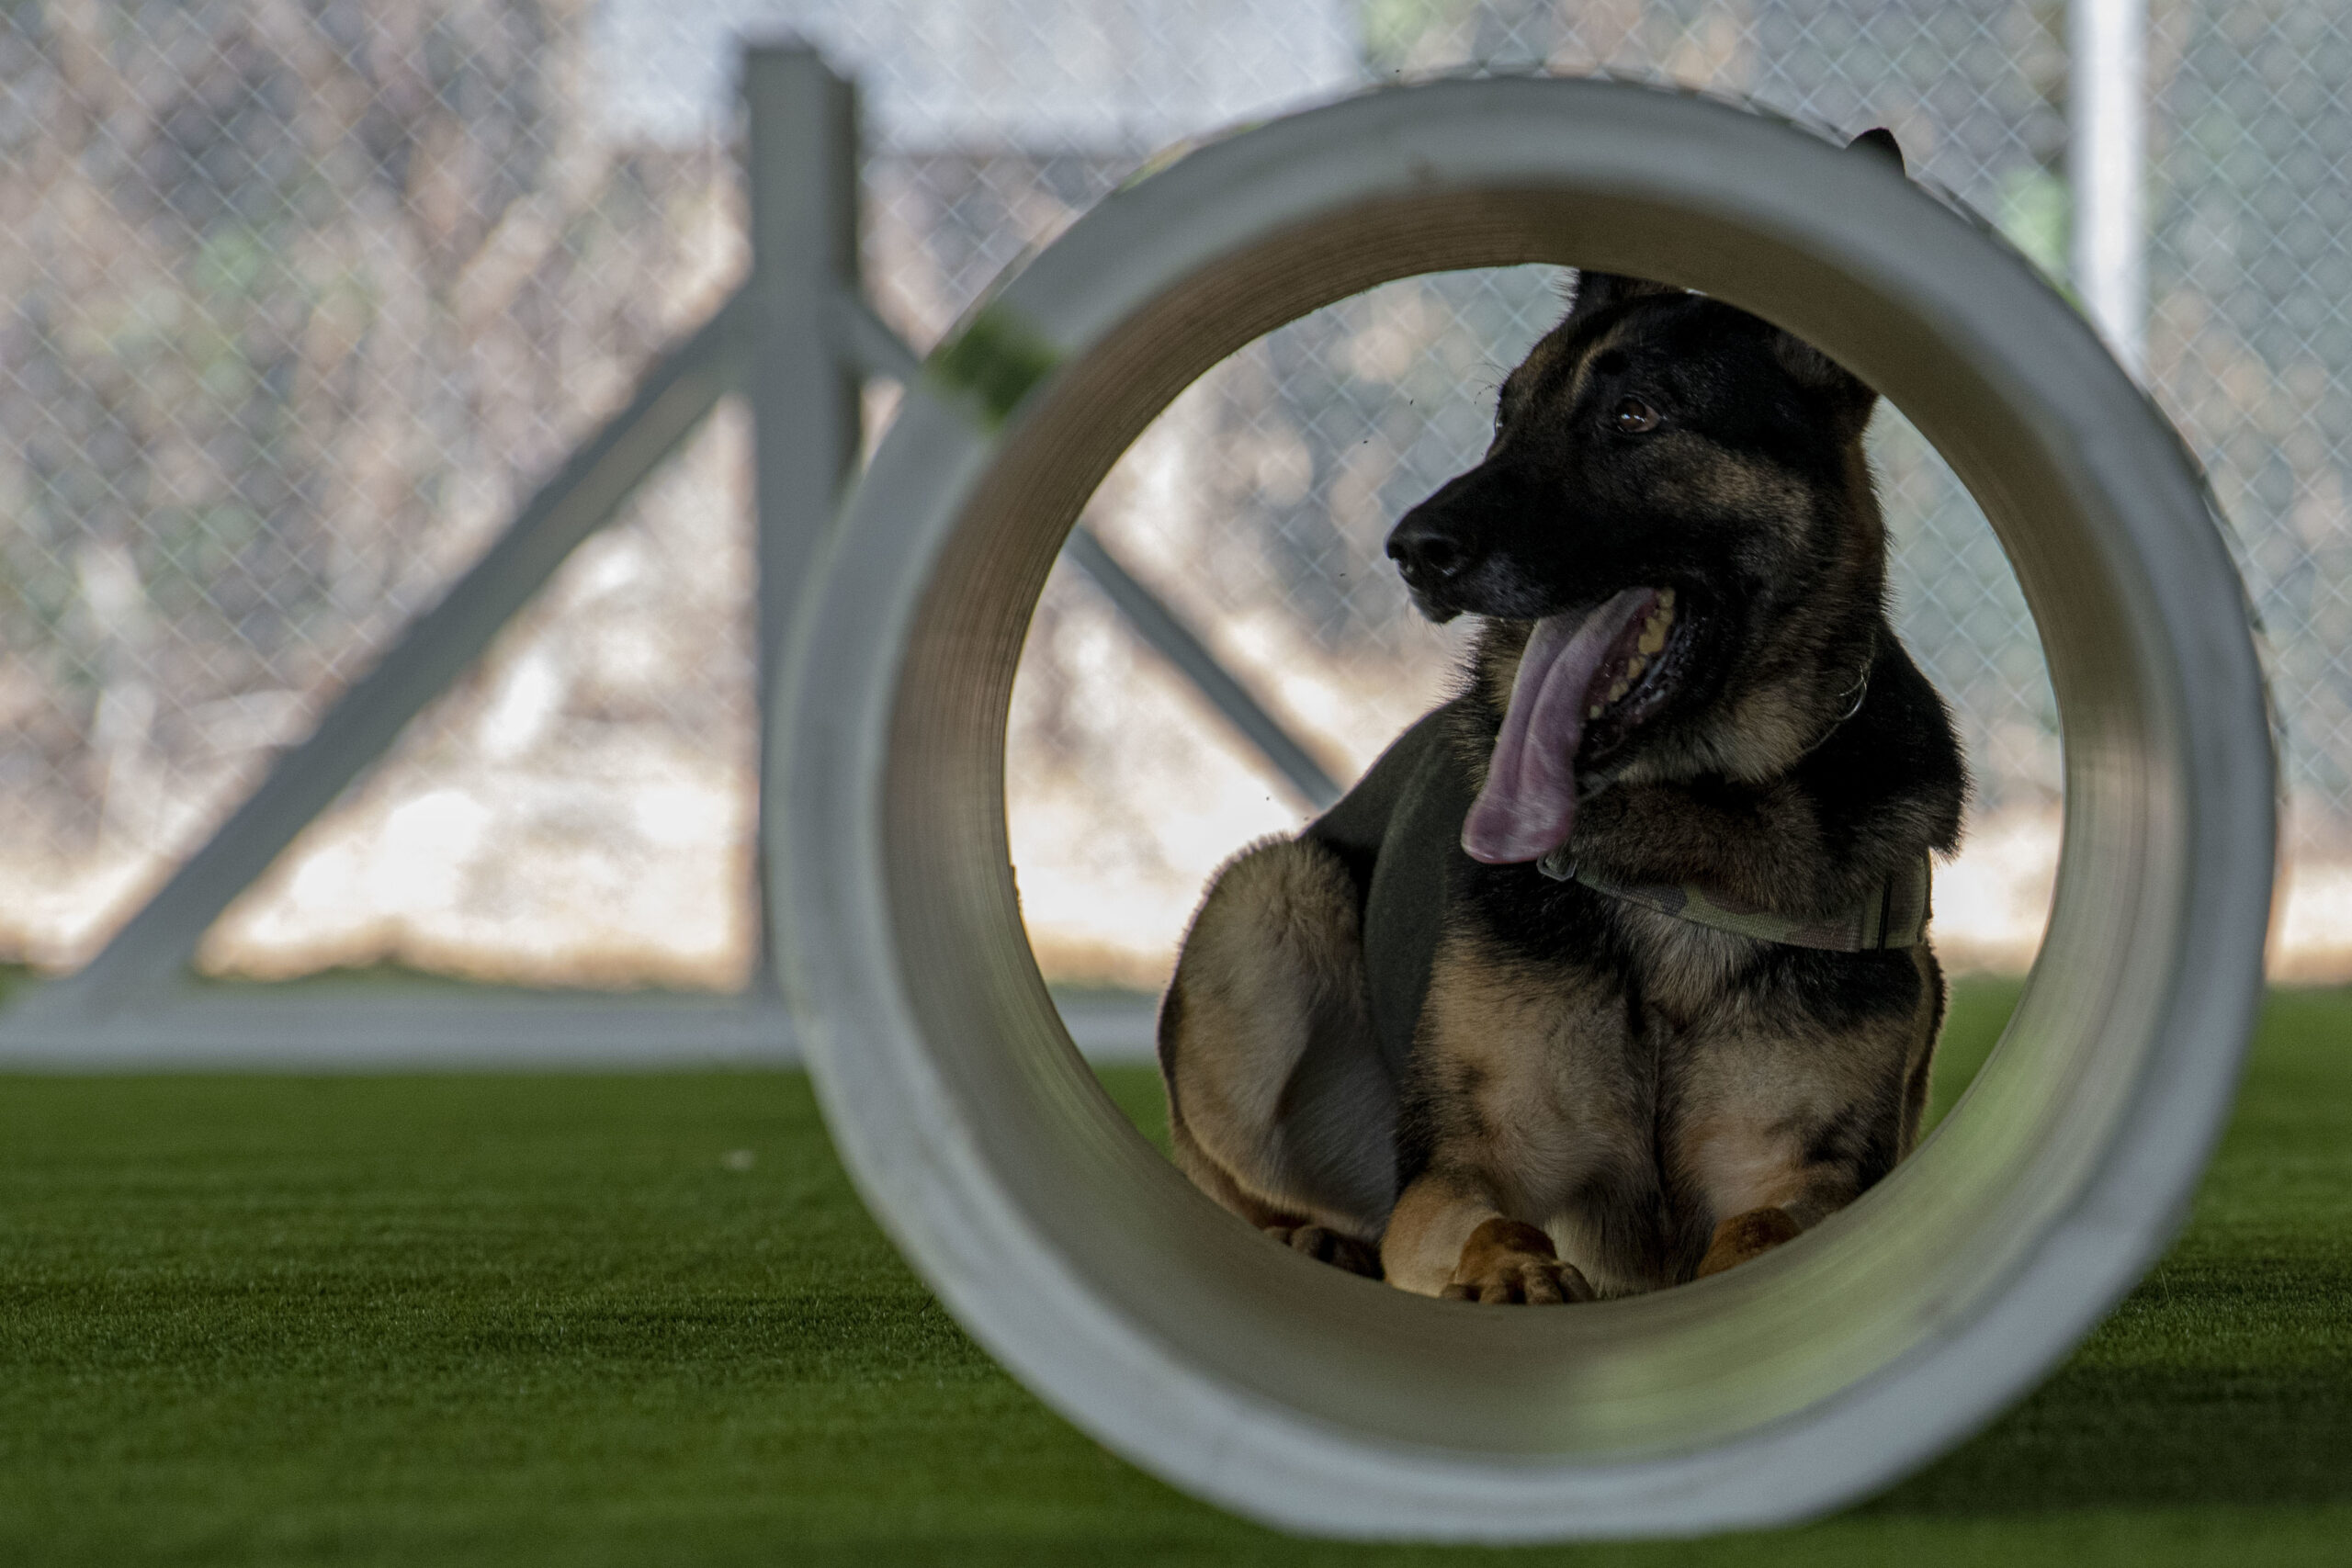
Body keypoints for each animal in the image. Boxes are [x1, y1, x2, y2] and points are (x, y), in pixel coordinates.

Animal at [1152, 131, 1966, 1297]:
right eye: (1505, 418)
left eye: (1636, 417)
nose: (1414, 550)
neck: (1684, 835)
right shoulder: (1462, 1168)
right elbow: (1490, 1221)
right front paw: (1512, 1276)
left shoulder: (1811, 1172)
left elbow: (1764, 1230)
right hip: (1262, 904)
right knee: (1239, 1179)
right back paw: (1312, 1240)